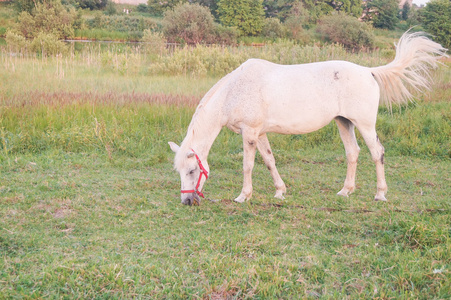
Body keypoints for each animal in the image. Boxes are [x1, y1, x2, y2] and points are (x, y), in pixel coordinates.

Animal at [170, 32, 448, 206]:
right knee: (353, 153)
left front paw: (243, 196)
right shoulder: (260, 133)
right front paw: (280, 191)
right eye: (180, 171)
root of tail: (368, 71)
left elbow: (248, 166)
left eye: (193, 170)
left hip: (365, 124)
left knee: (376, 152)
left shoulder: (249, 133)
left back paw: (380, 195)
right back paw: (345, 191)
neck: (233, 92)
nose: (187, 201)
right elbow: (269, 161)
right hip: (343, 122)